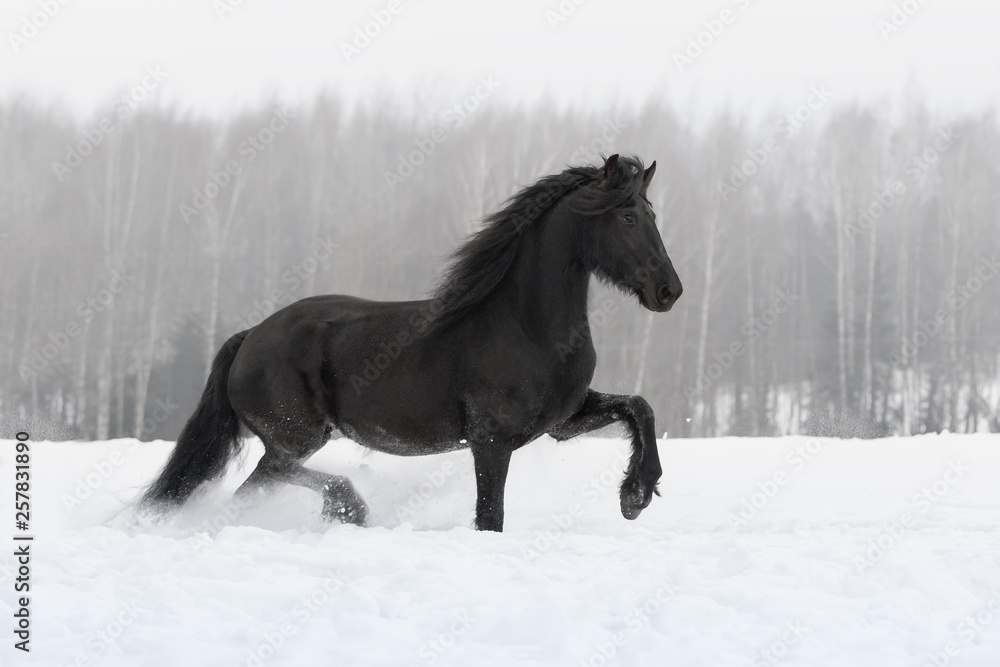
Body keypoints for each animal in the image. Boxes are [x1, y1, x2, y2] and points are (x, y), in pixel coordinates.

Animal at [143, 155, 680, 532]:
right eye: (628, 217)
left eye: (654, 214)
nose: (669, 291)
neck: (526, 325)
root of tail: (249, 336)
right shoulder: (490, 441)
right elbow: (490, 518)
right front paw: (636, 492)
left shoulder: (562, 421)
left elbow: (639, 405)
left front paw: (636, 493)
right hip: (296, 437)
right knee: (263, 483)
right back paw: (348, 508)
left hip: (295, 440)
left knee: (254, 489)